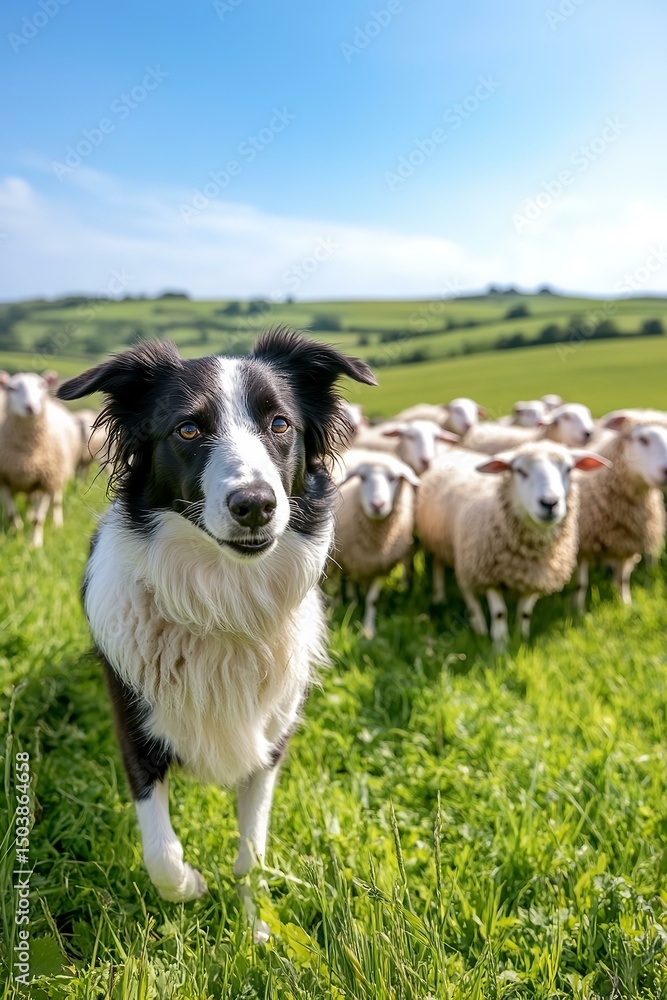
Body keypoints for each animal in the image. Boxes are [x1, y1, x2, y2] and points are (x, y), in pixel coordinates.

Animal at [0, 371, 81, 547]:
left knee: (56, 501)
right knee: (30, 500)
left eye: (42, 385)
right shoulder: (4, 481)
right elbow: (11, 514)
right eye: (11, 388)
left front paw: (34, 544)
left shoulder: (45, 481)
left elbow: (38, 519)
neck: (26, 453)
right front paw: (15, 533)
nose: (30, 407)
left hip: (57, 475)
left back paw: (57, 523)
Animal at [332, 450, 420, 637]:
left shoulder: (380, 565)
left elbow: (372, 599)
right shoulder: (335, 561)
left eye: (394, 478)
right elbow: (335, 590)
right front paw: (335, 610)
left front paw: (368, 630)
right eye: (363, 477)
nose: (377, 505)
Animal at [415, 442, 608, 648]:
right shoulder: (488, 573)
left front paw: (520, 637)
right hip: (456, 553)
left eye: (569, 469)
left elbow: (525, 612)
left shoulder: (536, 577)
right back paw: (465, 616)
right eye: (520, 471)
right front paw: (500, 644)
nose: (550, 503)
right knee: (457, 582)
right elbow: (500, 613)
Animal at [575, 413, 667, 611]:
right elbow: (581, 584)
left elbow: (622, 579)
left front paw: (625, 604)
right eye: (643, 439)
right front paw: (577, 610)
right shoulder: (582, 545)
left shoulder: (628, 545)